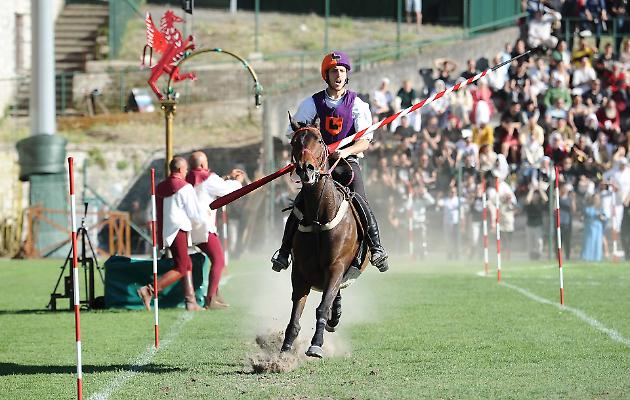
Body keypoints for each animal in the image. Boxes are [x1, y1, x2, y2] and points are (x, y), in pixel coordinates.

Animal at [282, 117, 370, 358]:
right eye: (294, 142)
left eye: (319, 140)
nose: (306, 169)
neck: (319, 217)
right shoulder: (300, 272)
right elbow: (295, 312)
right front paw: (286, 346)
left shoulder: (335, 267)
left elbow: (322, 306)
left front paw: (316, 345)